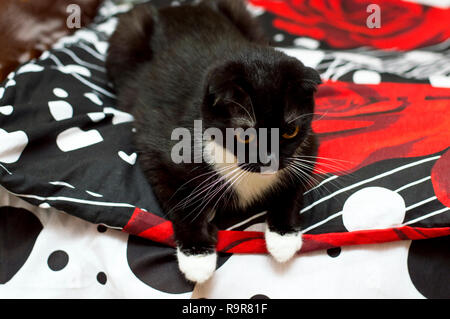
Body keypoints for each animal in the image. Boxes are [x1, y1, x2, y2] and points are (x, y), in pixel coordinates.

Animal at [107, 0, 322, 284]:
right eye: (245, 134)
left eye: (290, 131)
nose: (270, 160)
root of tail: (178, 7)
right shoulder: (157, 146)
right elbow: (182, 197)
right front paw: (198, 256)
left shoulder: (308, 146)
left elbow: (292, 186)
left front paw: (283, 238)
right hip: (128, 32)